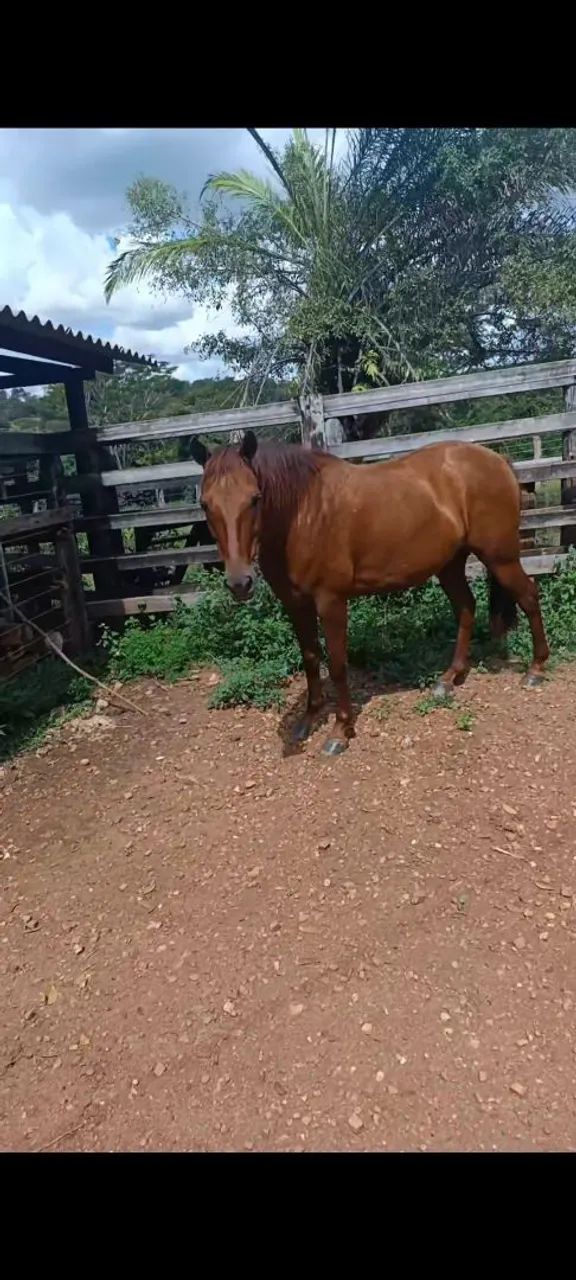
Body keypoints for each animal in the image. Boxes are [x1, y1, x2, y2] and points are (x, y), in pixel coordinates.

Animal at [191, 430, 550, 756]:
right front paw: (308, 720)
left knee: (529, 597)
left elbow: (337, 664)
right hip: (450, 564)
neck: (304, 513)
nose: (240, 583)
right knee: (466, 606)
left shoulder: (331, 601)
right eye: (205, 504)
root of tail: (498, 460)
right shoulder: (296, 605)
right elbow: (310, 659)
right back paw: (448, 679)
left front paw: (340, 732)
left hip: (500, 558)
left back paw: (535, 671)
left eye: (254, 497)